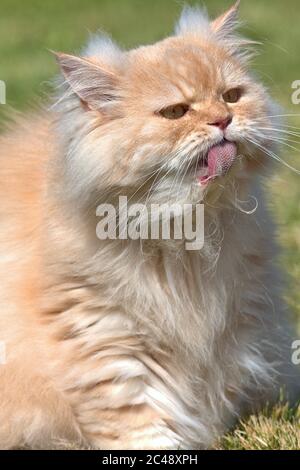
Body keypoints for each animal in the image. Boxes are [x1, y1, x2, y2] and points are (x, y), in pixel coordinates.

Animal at [0, 1, 298, 452]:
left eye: (231, 96)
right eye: (175, 112)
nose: (223, 120)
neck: (182, 232)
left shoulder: (235, 322)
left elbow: (214, 394)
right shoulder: (104, 334)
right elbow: (139, 417)